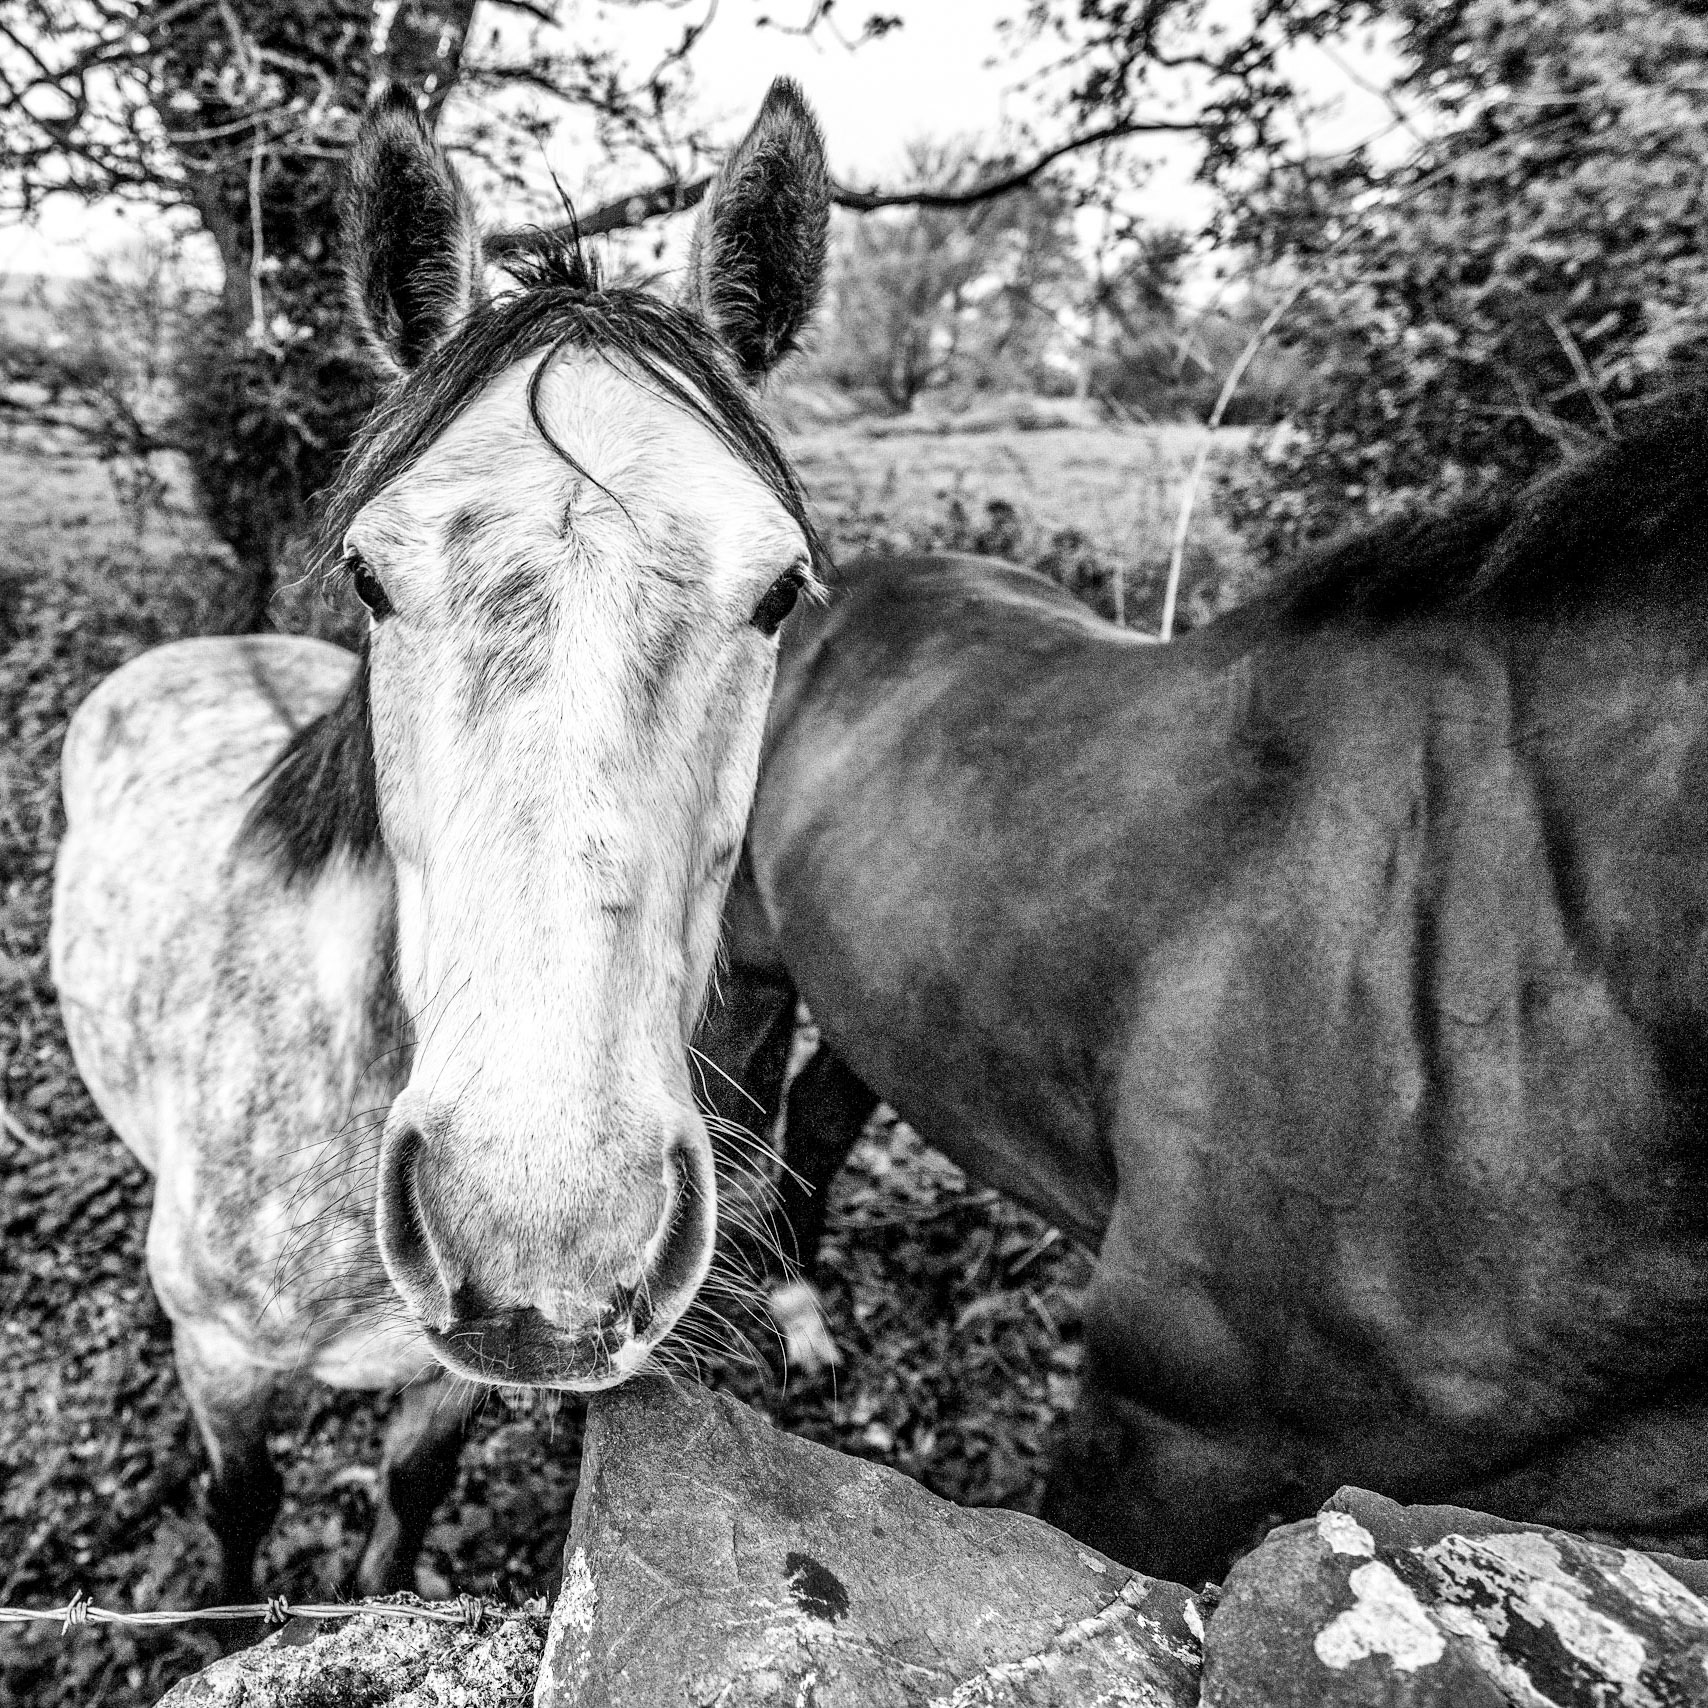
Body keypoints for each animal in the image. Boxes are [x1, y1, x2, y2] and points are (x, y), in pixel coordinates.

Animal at [48, 78, 831, 1601]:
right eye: (369, 572)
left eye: (779, 591)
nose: (546, 1224)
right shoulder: (217, 1357)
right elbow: (241, 1509)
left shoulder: (448, 1379)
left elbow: (406, 1496)